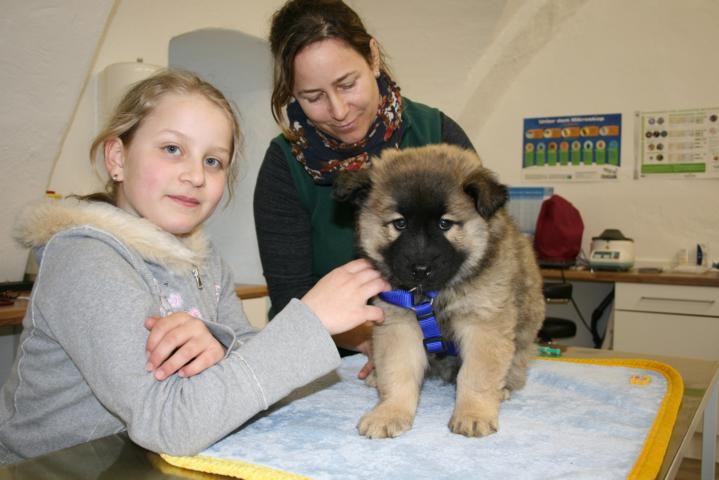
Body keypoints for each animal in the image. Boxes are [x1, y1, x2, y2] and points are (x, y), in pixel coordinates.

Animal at [334, 143, 544, 438]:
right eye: (400, 224)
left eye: (445, 224)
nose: (420, 269)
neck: (435, 296)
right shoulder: (399, 325)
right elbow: (398, 373)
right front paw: (389, 413)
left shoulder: (483, 325)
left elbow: (475, 376)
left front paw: (473, 414)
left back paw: (503, 389)